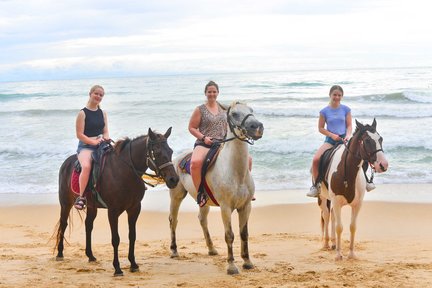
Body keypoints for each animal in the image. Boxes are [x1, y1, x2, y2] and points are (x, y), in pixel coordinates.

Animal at [54, 127, 179, 274]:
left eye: (170, 151)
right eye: (158, 152)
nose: (174, 179)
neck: (125, 171)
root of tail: (66, 162)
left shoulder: (134, 208)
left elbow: (132, 236)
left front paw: (133, 264)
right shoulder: (113, 211)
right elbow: (115, 239)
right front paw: (117, 268)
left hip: (92, 206)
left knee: (88, 225)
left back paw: (90, 255)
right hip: (65, 203)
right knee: (63, 224)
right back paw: (60, 253)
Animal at [168, 102, 264, 274]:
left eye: (251, 111)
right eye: (234, 114)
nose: (257, 127)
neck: (235, 172)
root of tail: (177, 159)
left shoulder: (246, 206)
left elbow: (244, 234)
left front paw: (247, 261)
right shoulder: (225, 207)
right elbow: (229, 235)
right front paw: (231, 266)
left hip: (203, 202)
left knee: (202, 220)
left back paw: (211, 248)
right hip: (176, 196)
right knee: (173, 220)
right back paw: (174, 250)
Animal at [318, 118, 388, 260]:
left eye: (380, 139)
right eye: (367, 141)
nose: (383, 165)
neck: (347, 173)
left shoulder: (357, 204)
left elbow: (352, 227)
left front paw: (351, 254)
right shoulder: (336, 202)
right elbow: (339, 227)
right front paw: (339, 255)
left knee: (331, 216)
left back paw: (333, 243)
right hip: (323, 198)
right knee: (326, 216)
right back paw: (327, 243)